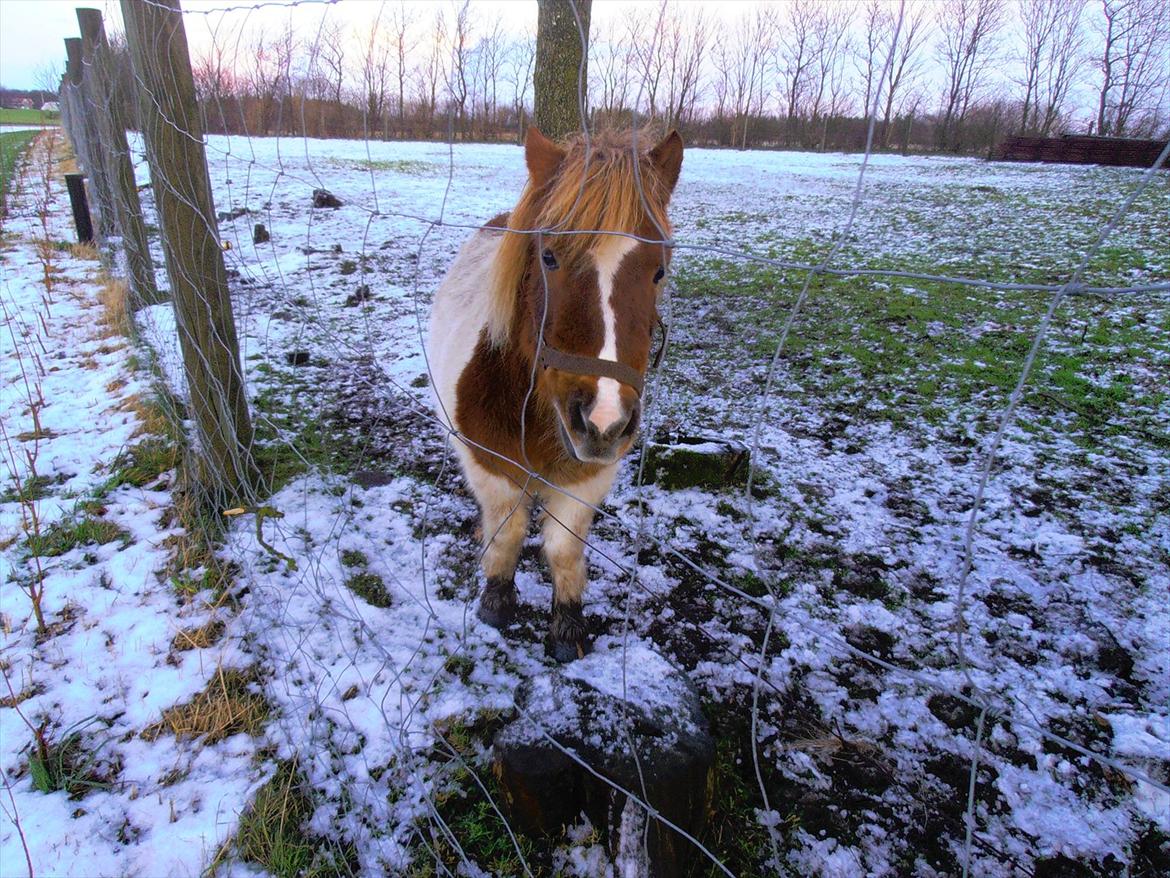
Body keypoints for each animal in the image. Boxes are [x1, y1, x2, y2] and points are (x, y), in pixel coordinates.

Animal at [427, 126, 684, 662]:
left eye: (659, 270)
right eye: (548, 258)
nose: (603, 419)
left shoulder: (589, 476)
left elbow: (564, 551)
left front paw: (567, 627)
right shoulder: (489, 465)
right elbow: (507, 533)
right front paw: (496, 603)